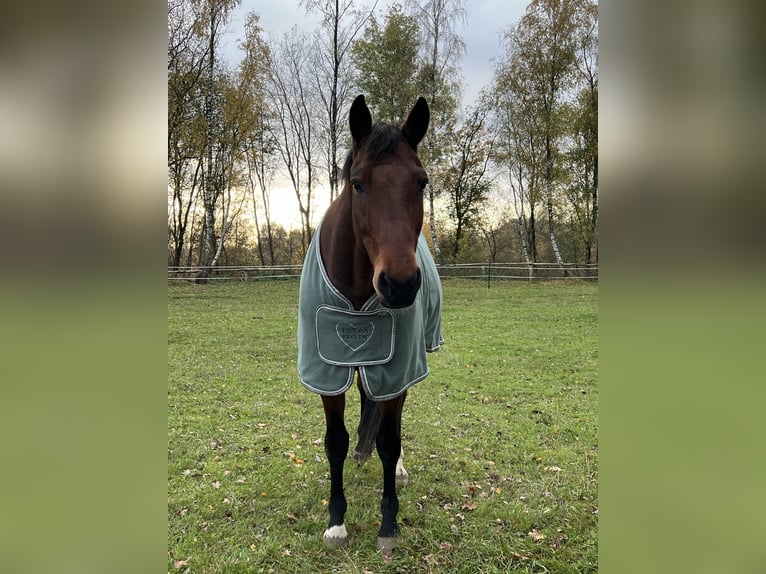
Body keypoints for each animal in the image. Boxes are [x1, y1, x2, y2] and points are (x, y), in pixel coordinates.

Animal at [298, 97, 444, 556]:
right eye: (358, 184)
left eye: (421, 181)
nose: (400, 284)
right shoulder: (327, 371)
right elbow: (335, 442)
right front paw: (336, 522)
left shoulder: (396, 369)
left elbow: (389, 441)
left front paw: (388, 524)